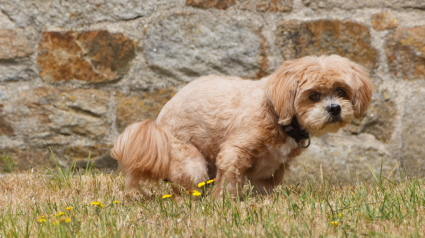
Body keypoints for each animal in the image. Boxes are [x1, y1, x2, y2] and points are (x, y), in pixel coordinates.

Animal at [110, 55, 372, 197]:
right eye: (314, 96)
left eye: (341, 91)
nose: (334, 108)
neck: (278, 114)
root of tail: (158, 124)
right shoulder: (234, 154)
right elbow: (229, 184)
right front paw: (225, 204)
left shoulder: (270, 169)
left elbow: (264, 189)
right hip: (191, 163)